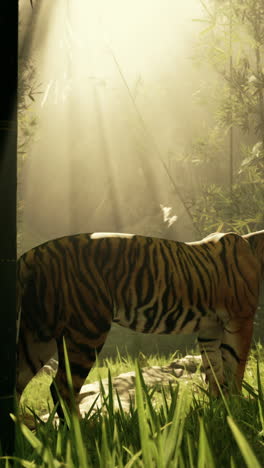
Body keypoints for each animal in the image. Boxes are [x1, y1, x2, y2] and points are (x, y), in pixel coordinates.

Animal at [16, 229, 264, 414]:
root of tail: (32, 255)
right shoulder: (240, 319)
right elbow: (234, 366)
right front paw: (237, 408)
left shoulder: (210, 328)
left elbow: (215, 369)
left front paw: (220, 409)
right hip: (86, 329)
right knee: (62, 387)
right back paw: (81, 434)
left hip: (38, 336)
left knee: (16, 382)